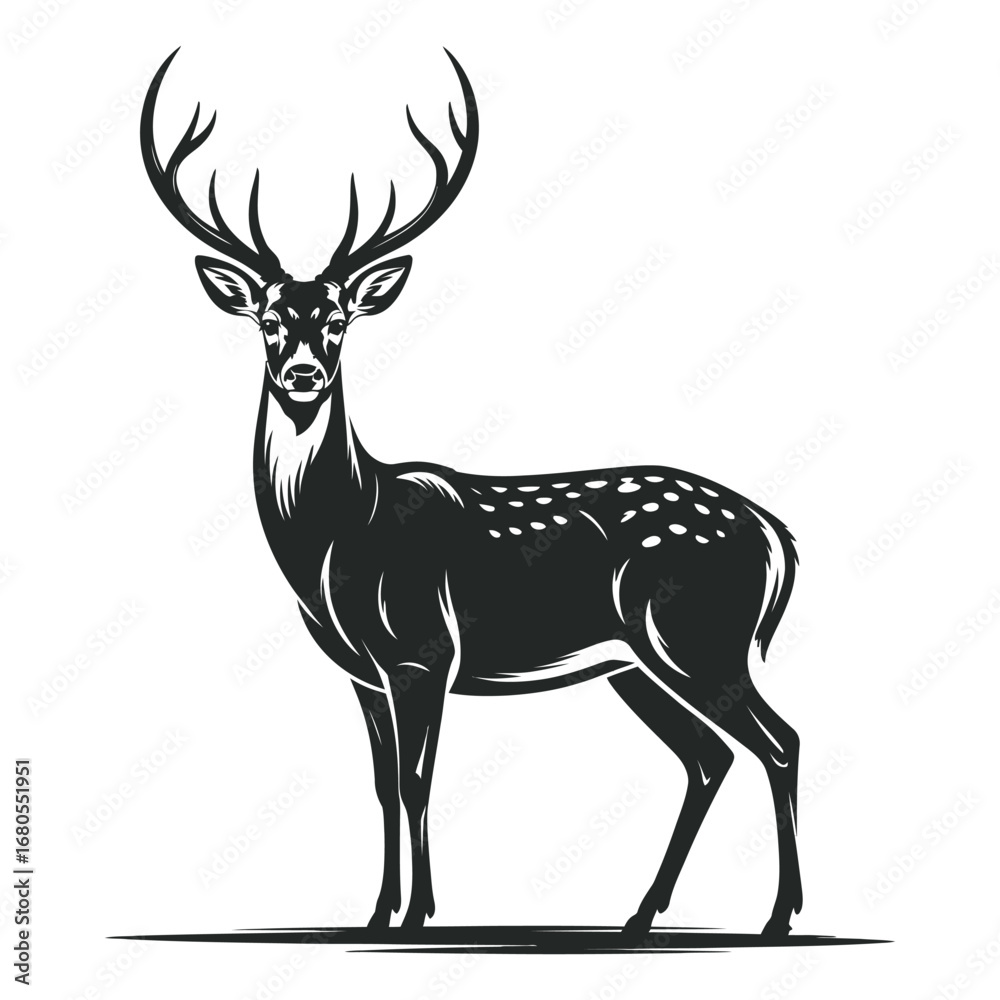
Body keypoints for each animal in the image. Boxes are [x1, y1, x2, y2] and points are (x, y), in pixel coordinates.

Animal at [141, 47, 802, 940]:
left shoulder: (424, 649)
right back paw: (640, 916)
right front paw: (375, 914)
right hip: (634, 662)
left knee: (777, 740)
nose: (304, 373)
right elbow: (382, 787)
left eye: (340, 320)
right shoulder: (362, 672)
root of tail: (776, 537)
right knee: (710, 757)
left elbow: (417, 782)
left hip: (699, 636)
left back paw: (778, 917)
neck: (339, 541)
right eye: (270, 320)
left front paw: (419, 914)